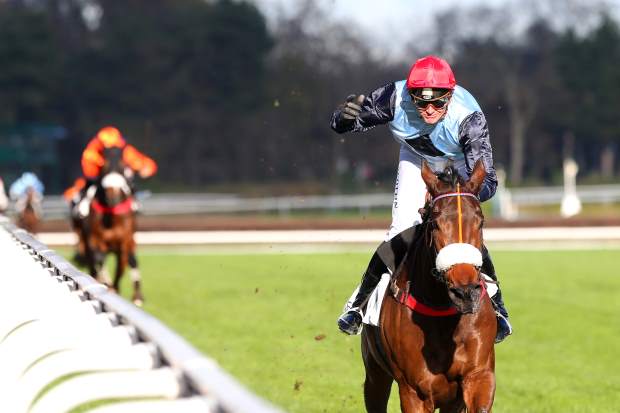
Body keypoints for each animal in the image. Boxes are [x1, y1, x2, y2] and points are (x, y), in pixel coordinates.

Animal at [86, 148, 144, 306]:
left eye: (123, 166)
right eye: (104, 167)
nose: (113, 196)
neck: (111, 217)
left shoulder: (124, 243)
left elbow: (121, 268)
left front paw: (115, 289)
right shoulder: (96, 240)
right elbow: (99, 260)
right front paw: (106, 284)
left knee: (132, 261)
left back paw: (137, 298)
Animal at [360, 159, 496, 412]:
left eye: (481, 221)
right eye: (435, 223)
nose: (465, 292)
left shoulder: (479, 376)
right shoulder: (415, 391)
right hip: (374, 374)